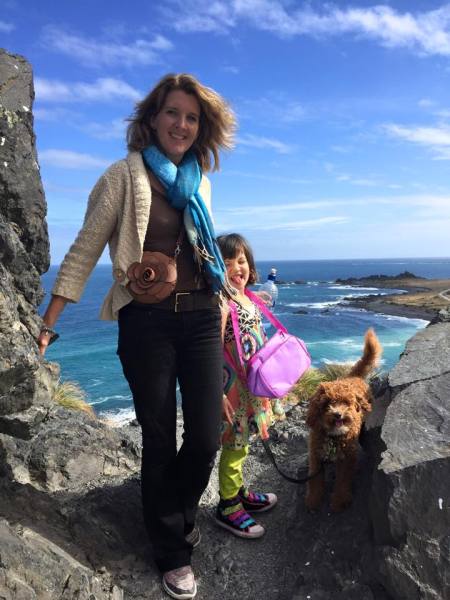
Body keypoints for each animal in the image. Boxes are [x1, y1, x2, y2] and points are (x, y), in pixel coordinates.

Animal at [304, 330, 382, 512]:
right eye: (326, 403)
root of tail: (353, 377)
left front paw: (339, 500)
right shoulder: (316, 457)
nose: (338, 415)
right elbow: (315, 480)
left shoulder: (347, 459)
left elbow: (343, 481)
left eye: (347, 403)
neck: (333, 437)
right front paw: (313, 499)